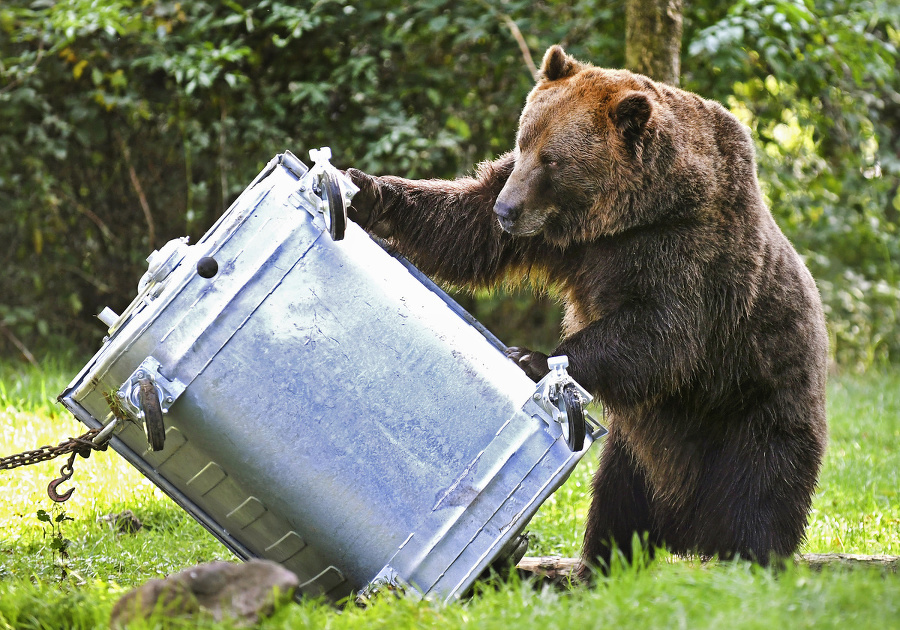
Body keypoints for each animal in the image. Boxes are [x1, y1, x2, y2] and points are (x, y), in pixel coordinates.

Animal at [346, 44, 828, 576]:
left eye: (552, 159)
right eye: (523, 140)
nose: (506, 210)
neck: (628, 215)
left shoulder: (688, 252)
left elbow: (660, 334)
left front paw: (533, 358)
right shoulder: (570, 242)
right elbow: (466, 226)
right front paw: (367, 192)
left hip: (751, 409)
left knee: (758, 503)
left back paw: (746, 564)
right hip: (635, 452)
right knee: (619, 505)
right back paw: (601, 567)